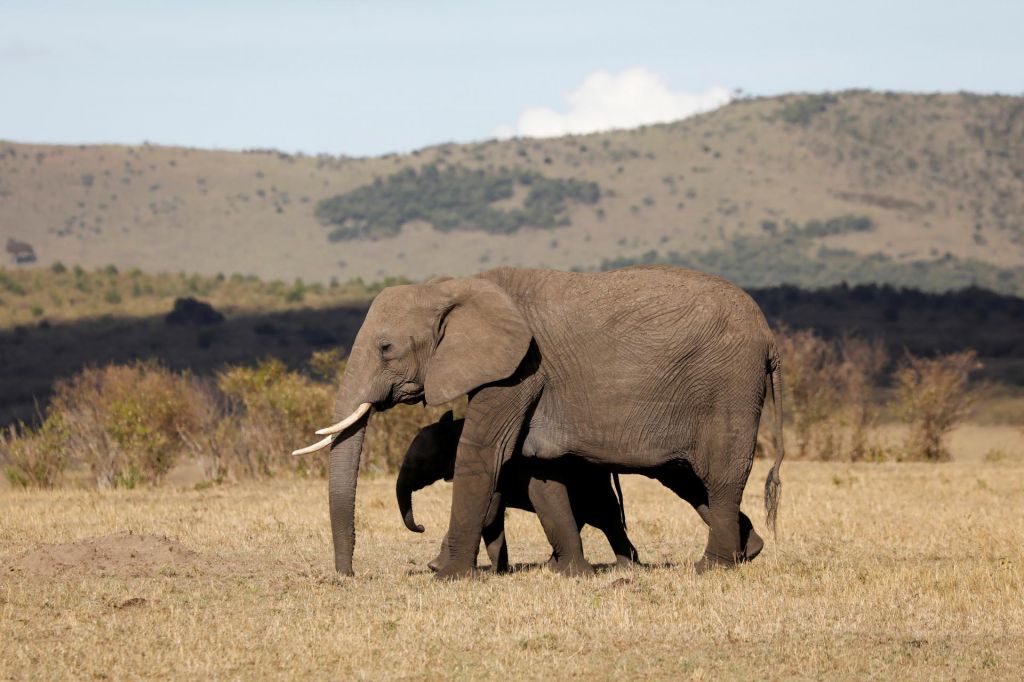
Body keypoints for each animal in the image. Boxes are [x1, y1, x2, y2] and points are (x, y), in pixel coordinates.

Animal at [393, 409, 638, 573]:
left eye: (421, 462)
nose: (422, 527)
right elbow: (492, 516)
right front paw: (499, 571)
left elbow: (488, 514)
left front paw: (435, 566)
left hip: (589, 480)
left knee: (601, 515)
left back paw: (624, 566)